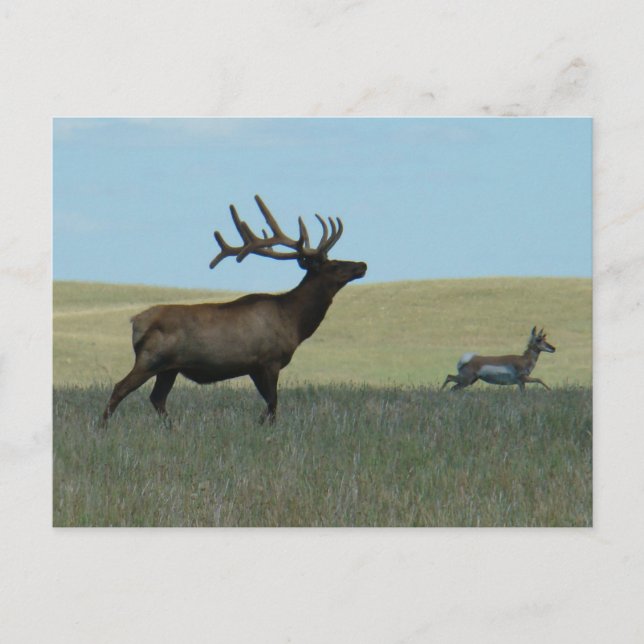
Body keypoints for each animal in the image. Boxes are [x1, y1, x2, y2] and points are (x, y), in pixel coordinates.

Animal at [101, 195, 367, 426]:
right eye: (334, 265)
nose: (362, 265)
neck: (294, 322)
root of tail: (136, 321)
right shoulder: (268, 360)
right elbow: (273, 404)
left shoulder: (254, 367)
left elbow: (269, 405)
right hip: (150, 359)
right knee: (119, 389)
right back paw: (102, 428)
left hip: (170, 368)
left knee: (157, 398)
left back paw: (173, 428)